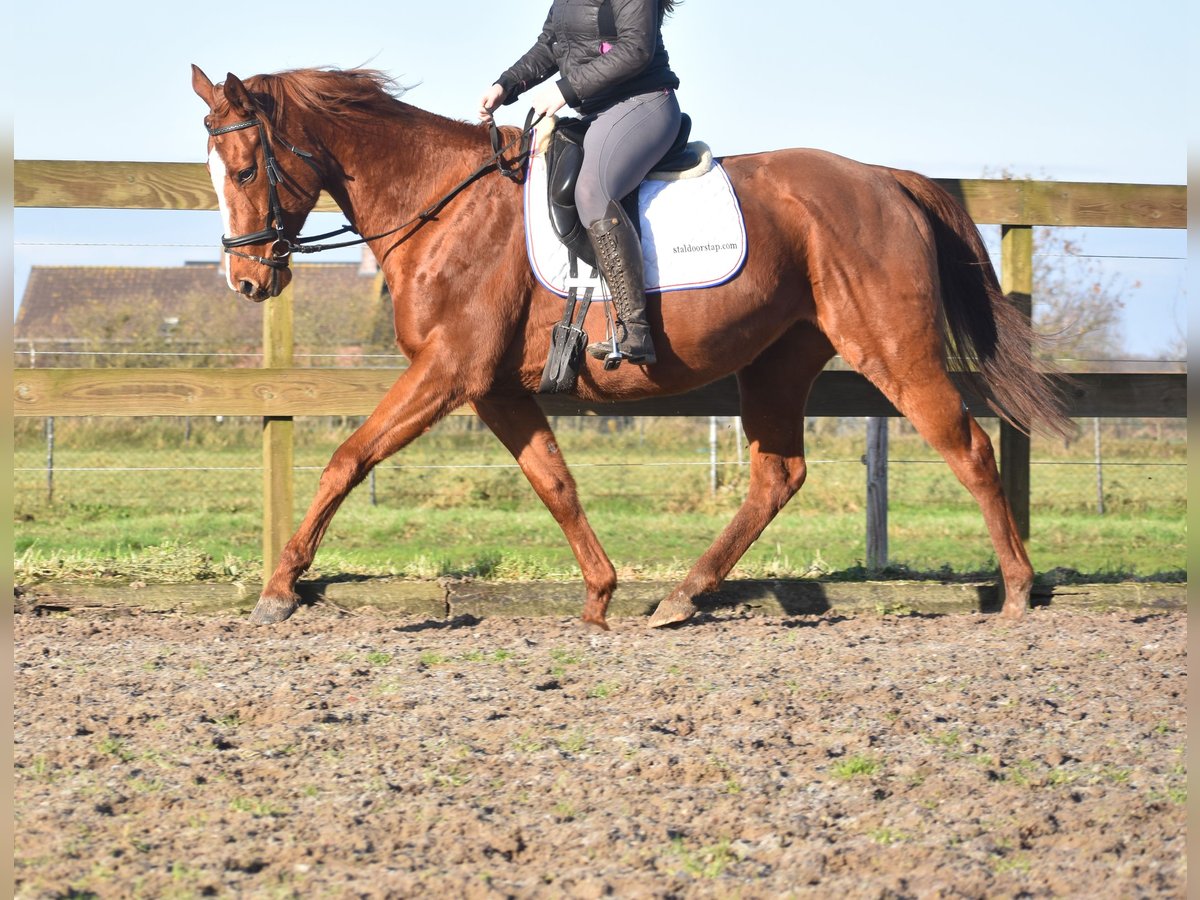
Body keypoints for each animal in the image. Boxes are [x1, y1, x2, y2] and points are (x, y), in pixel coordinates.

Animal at [192, 65, 1075, 628]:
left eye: (245, 167)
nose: (245, 280)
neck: (440, 206)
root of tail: (884, 178)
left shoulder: (449, 370)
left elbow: (349, 458)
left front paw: (280, 587)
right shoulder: (495, 386)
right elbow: (555, 483)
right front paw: (600, 596)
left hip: (891, 346)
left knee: (966, 448)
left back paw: (1019, 591)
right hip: (779, 359)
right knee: (777, 476)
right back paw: (681, 598)